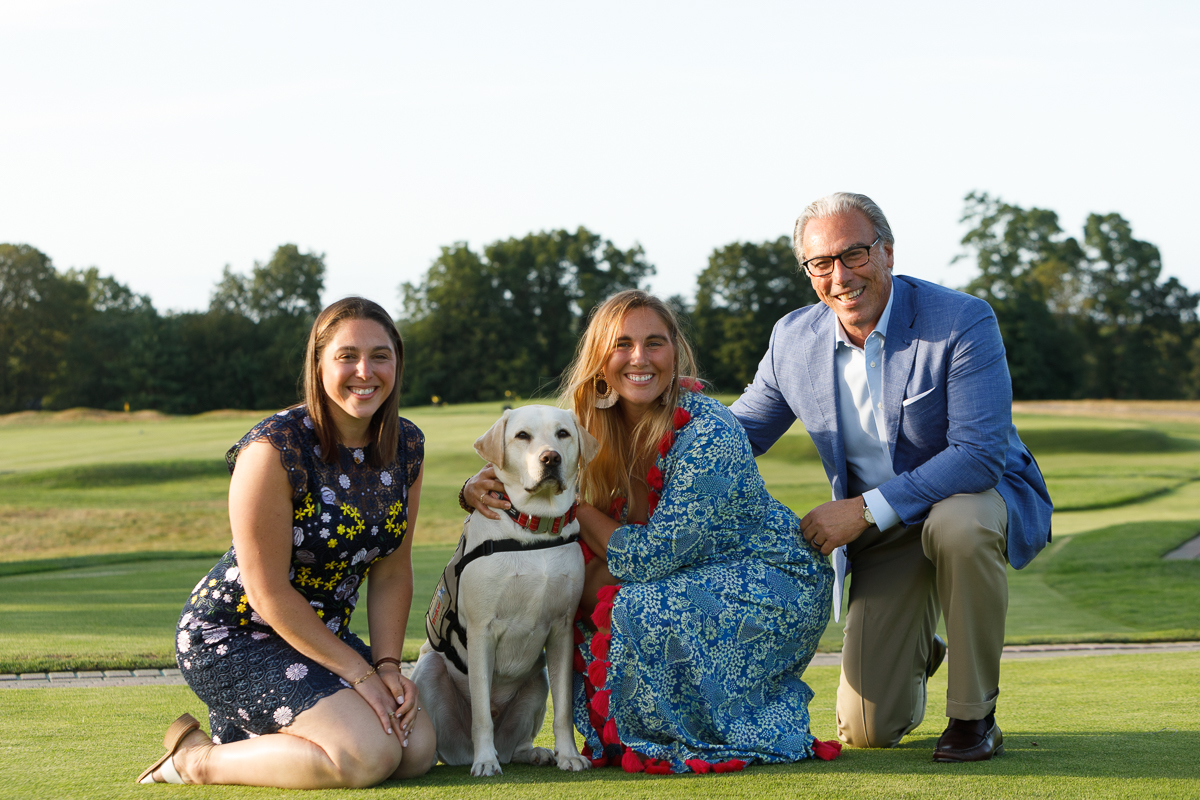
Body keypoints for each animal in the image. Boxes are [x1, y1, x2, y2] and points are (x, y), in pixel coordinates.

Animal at [415, 407, 597, 777]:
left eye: (563, 433)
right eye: (522, 436)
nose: (550, 458)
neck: (534, 529)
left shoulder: (562, 629)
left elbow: (564, 709)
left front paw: (569, 755)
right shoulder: (482, 630)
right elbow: (482, 714)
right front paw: (485, 762)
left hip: (538, 680)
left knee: (516, 746)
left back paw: (535, 753)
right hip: (427, 670)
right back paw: (479, 755)